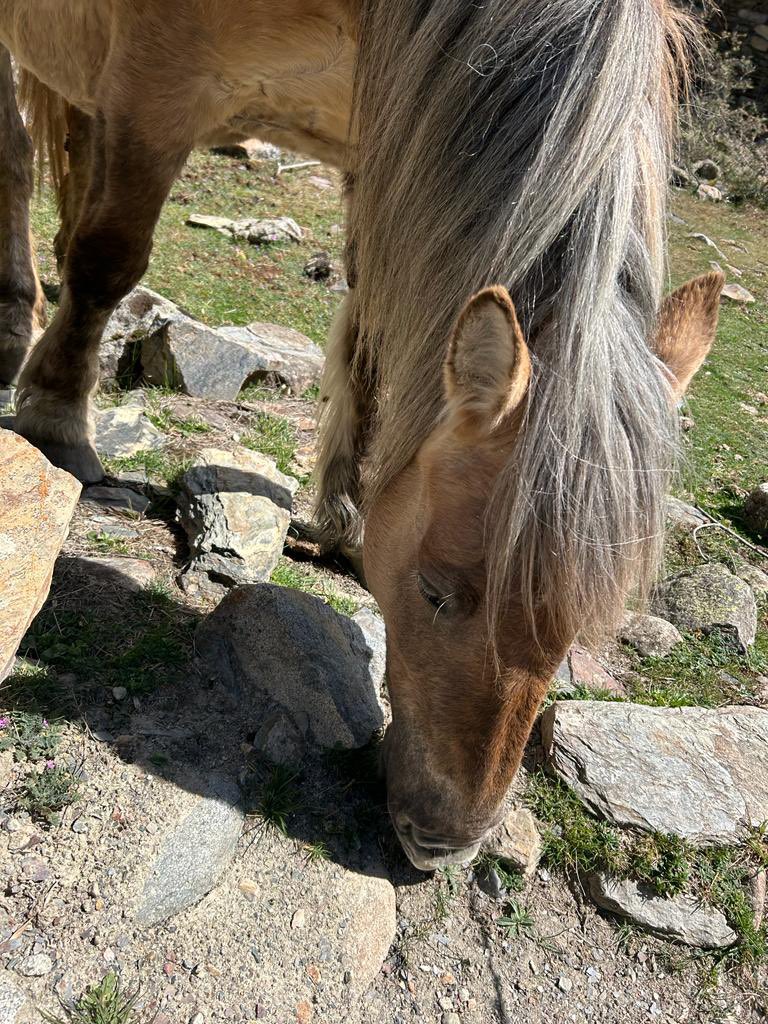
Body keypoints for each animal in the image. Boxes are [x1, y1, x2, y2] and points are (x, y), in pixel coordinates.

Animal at [0, 0, 723, 871]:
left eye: (582, 627)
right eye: (437, 591)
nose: (448, 845)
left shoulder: (376, 140)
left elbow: (372, 341)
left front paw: (338, 526)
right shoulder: (153, 92)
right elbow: (109, 256)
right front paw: (55, 419)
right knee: (19, 168)